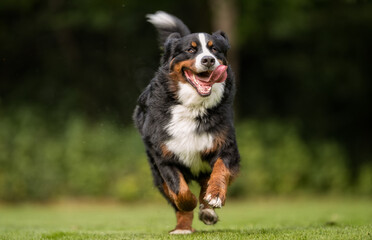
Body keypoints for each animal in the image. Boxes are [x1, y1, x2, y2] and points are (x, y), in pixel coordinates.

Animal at [132, 11, 240, 234]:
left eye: (214, 49)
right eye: (190, 50)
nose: (208, 60)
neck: (193, 106)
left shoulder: (226, 146)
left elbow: (220, 171)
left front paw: (214, 197)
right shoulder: (163, 156)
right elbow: (179, 191)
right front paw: (189, 204)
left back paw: (207, 209)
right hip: (155, 172)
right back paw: (182, 227)